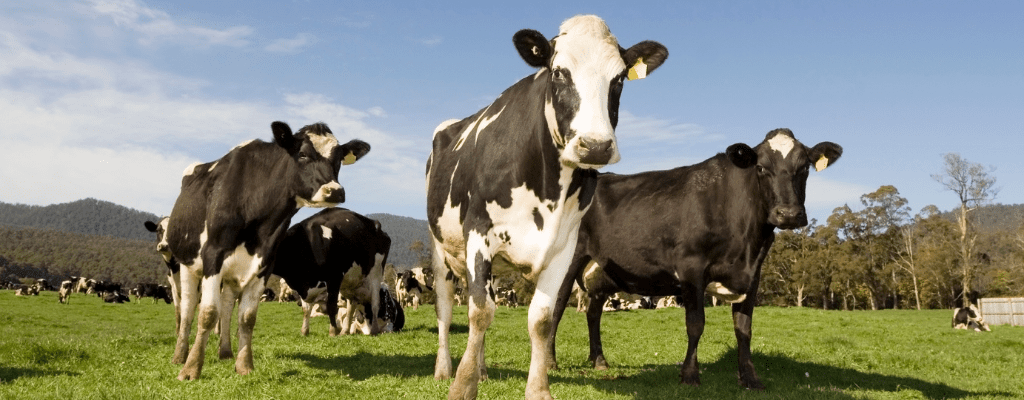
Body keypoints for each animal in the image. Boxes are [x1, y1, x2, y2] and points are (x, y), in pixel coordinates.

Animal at [167, 120, 372, 380]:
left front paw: (244, 365)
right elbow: (208, 313)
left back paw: (225, 352)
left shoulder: (265, 261)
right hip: (187, 263)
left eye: (338, 160)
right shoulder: (213, 255)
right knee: (188, 308)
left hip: (233, 273)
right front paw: (191, 369)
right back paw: (179, 355)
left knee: (227, 306)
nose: (334, 191)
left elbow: (246, 317)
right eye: (302, 154)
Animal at [272, 208, 391, 337]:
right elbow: (306, 309)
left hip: (376, 272)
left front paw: (333, 331)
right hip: (350, 282)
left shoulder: (334, 277)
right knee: (351, 306)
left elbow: (332, 306)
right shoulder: (304, 287)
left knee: (375, 303)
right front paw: (304, 331)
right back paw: (345, 331)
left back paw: (374, 330)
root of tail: (376, 225)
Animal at [421, 14, 667, 398]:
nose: (595, 146)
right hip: (440, 249)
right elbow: (479, 312)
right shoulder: (479, 231)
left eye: (619, 79)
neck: (548, 185)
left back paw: (483, 370)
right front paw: (462, 385)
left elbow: (541, 319)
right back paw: (445, 369)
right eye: (558, 72)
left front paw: (537, 389)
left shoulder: (564, 245)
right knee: (447, 309)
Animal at [548, 127, 843, 388]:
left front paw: (750, 378)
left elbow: (744, 328)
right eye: (761, 168)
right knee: (557, 307)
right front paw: (690, 375)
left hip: (602, 274)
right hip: (567, 260)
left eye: (805, 168)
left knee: (593, 312)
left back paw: (599, 360)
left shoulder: (753, 274)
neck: (745, 242)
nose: (788, 214)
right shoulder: (691, 268)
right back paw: (551, 362)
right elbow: (695, 324)